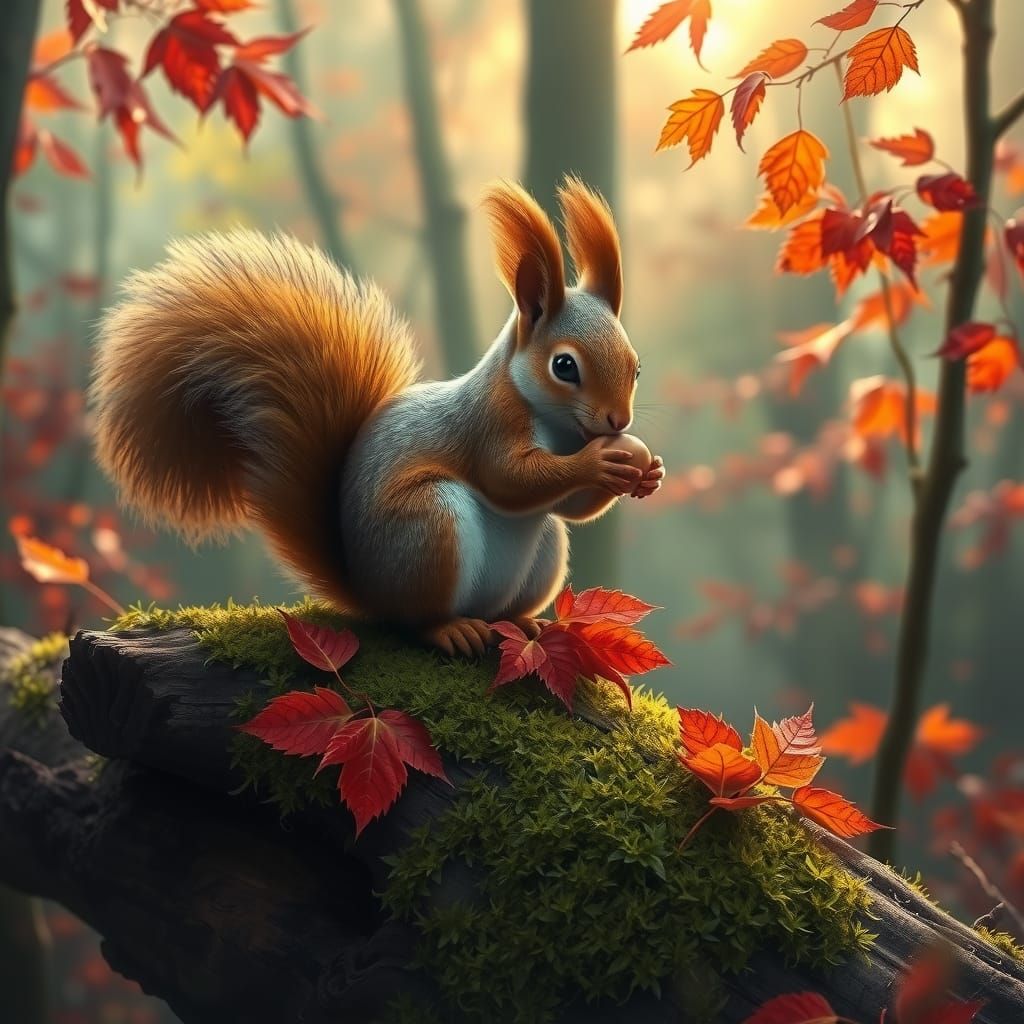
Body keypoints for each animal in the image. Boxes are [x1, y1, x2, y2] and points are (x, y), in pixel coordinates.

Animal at [90, 177, 665, 656]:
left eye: (637, 366)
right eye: (564, 366)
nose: (617, 422)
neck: (558, 426)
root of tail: (366, 590)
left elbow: (571, 508)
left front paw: (647, 472)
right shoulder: (489, 424)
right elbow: (509, 478)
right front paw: (601, 463)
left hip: (540, 551)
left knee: (517, 583)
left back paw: (524, 623)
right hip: (428, 527)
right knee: (414, 620)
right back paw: (450, 630)